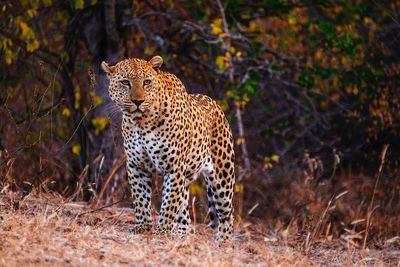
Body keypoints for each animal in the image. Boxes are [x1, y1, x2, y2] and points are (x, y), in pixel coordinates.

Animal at [101, 55, 236, 242]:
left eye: (147, 82)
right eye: (125, 82)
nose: (138, 102)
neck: (141, 122)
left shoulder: (174, 167)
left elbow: (169, 202)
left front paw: (162, 230)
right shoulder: (136, 166)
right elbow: (140, 198)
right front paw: (143, 227)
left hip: (222, 177)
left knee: (226, 214)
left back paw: (222, 241)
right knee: (185, 215)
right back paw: (181, 234)